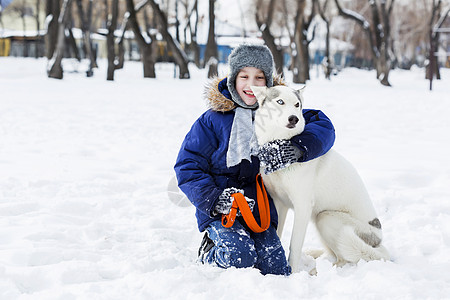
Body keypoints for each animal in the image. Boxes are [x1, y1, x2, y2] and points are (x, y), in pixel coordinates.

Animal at [251, 85, 388, 274]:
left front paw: (293, 273)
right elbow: (277, 234)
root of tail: (379, 242)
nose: (294, 118)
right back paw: (315, 254)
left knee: (345, 259)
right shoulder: (279, 203)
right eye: (280, 101)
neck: (278, 147)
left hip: (326, 218)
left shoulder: (302, 206)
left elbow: (294, 246)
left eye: (297, 105)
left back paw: (316, 272)